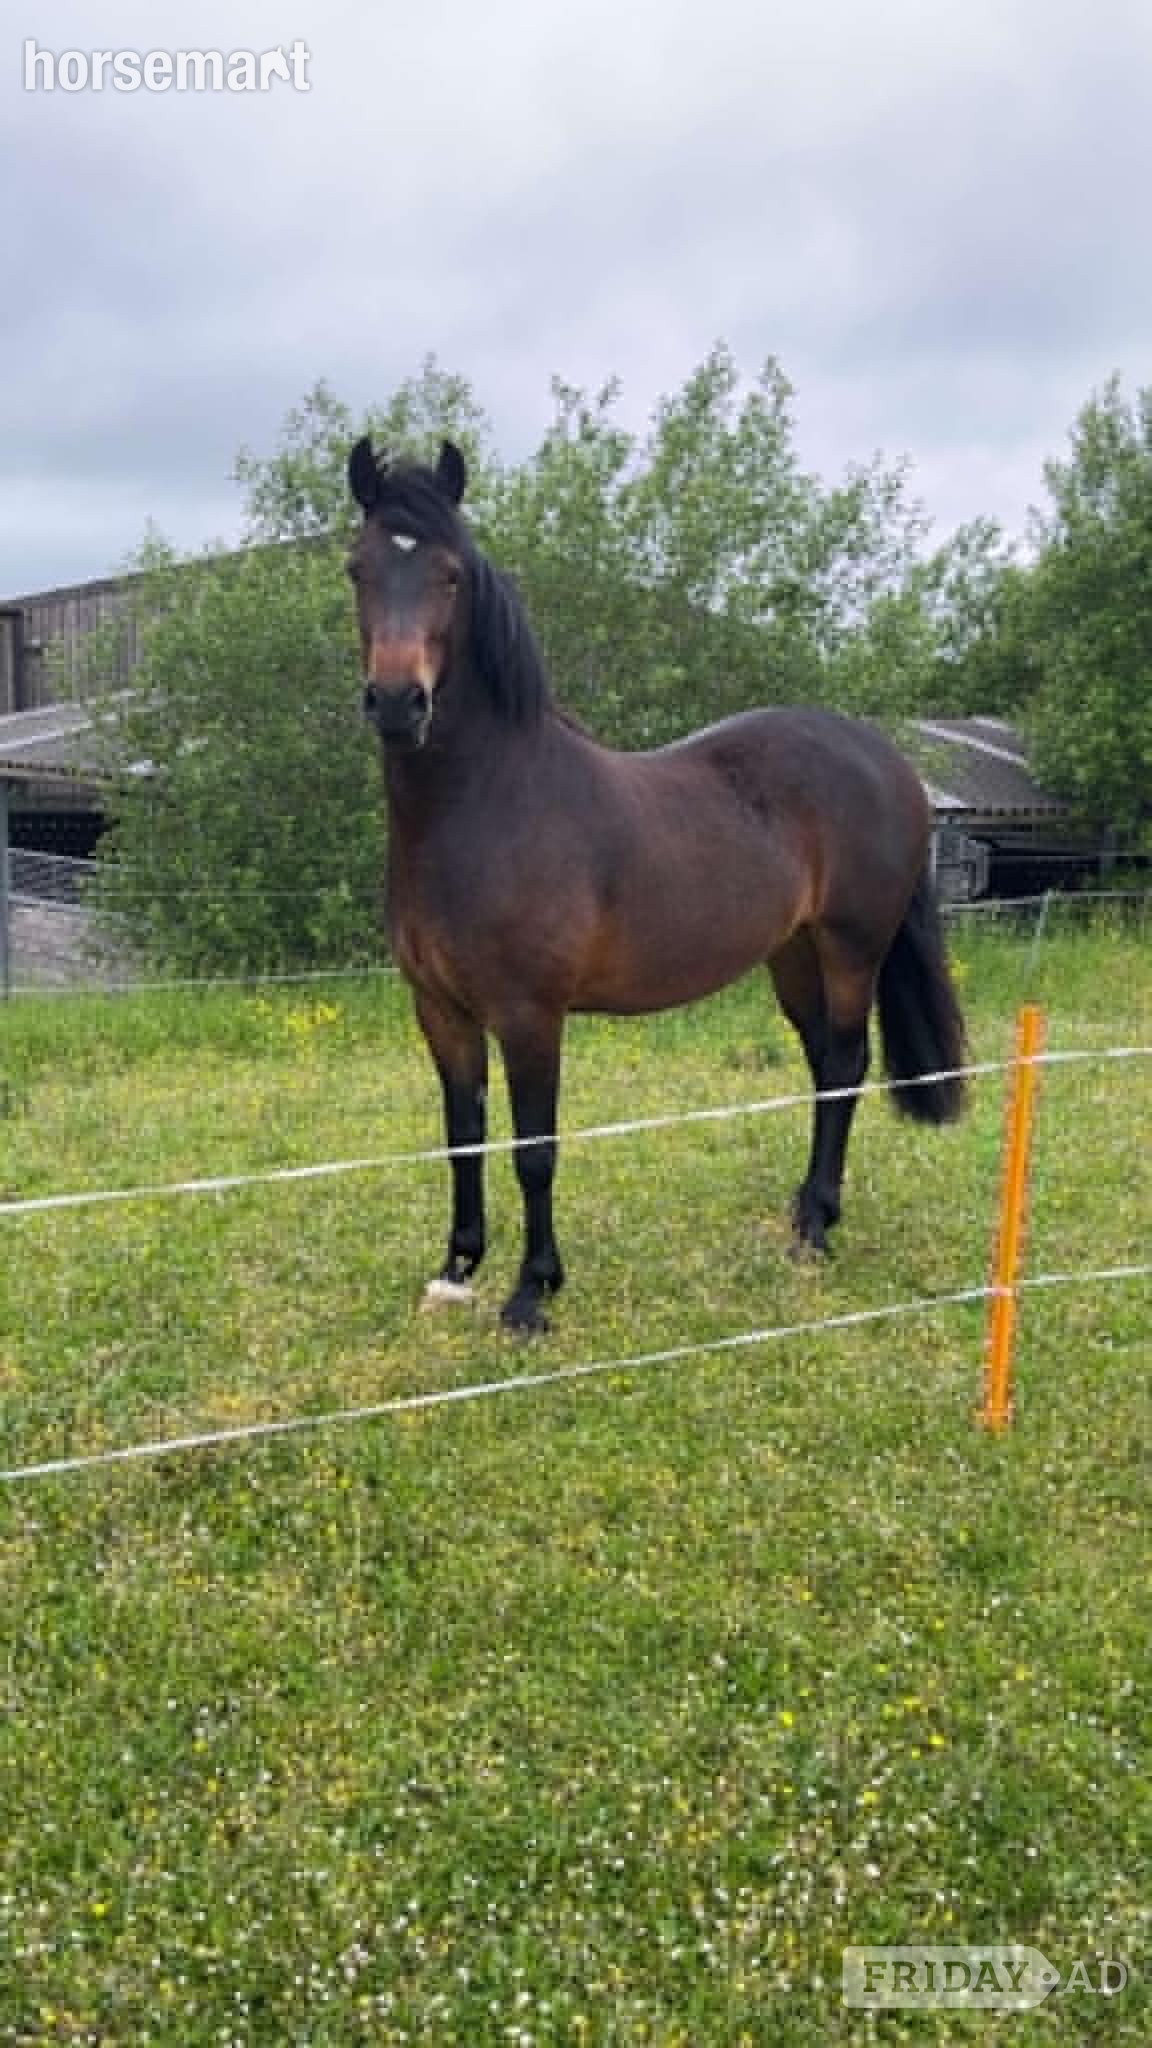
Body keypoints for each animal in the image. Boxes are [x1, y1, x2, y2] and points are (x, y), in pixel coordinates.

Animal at [346, 436, 967, 1334]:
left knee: (848, 1062)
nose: (398, 703)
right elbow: (464, 1134)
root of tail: (887, 760)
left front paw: (532, 1293)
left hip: (852, 949)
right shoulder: (440, 1010)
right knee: (823, 1063)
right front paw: (458, 1267)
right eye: (357, 568)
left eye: (452, 574)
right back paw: (807, 1211)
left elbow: (534, 1150)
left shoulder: (529, 1015)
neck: (488, 803)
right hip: (793, 956)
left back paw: (815, 1232)